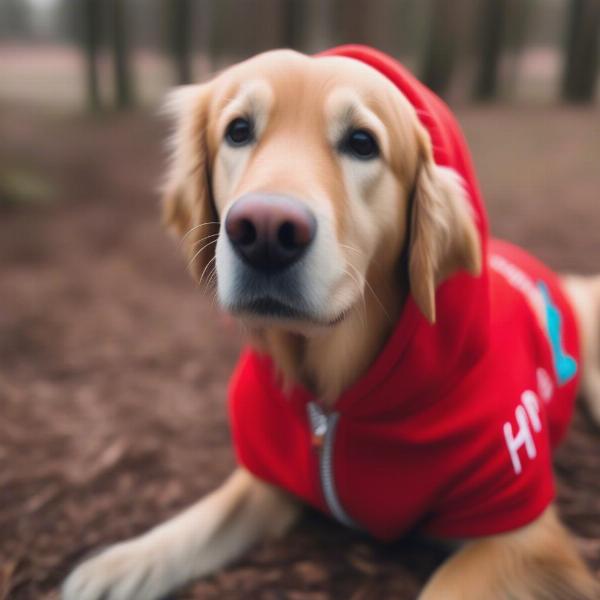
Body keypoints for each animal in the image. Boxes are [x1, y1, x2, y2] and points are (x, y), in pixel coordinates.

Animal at [63, 47, 600, 600]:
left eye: (362, 143)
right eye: (238, 130)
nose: (264, 232)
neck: (336, 398)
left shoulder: (524, 534)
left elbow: (447, 586)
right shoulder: (271, 476)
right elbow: (203, 519)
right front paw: (121, 564)